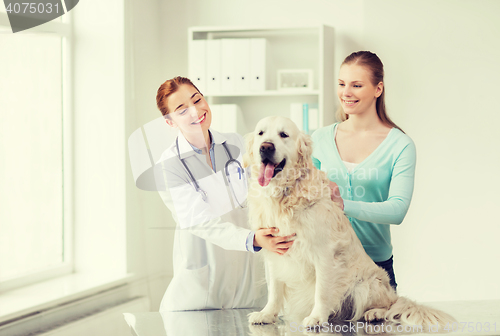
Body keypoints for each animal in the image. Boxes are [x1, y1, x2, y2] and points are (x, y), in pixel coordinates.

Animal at [244, 117, 456, 330]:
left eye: (284, 135)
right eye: (261, 133)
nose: (266, 147)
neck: (283, 195)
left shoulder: (324, 253)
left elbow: (321, 291)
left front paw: (317, 317)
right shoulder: (275, 250)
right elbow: (274, 290)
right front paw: (267, 314)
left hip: (367, 284)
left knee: (390, 305)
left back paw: (375, 313)